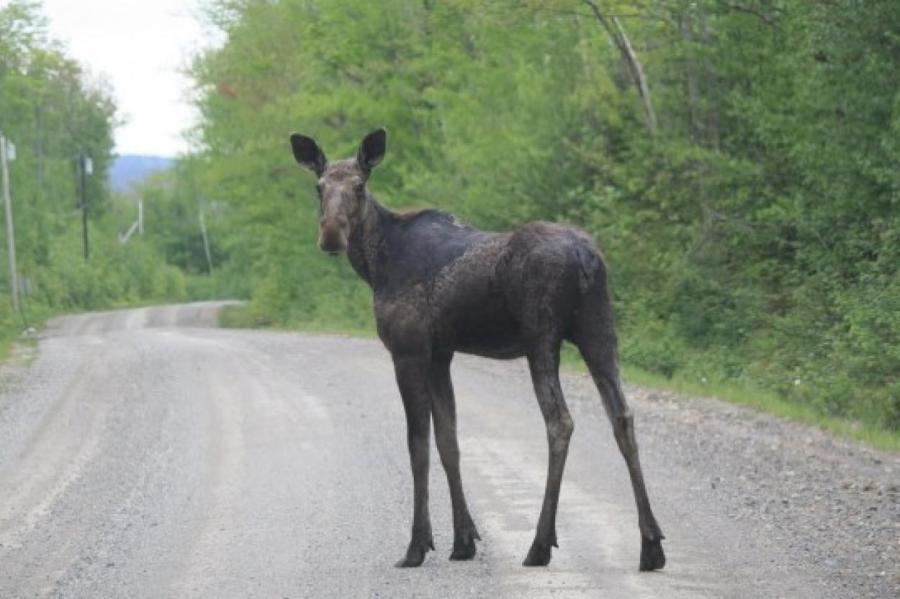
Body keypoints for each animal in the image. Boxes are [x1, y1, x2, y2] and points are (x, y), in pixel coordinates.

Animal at [292, 127, 664, 572]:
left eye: (360, 186)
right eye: (319, 186)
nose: (331, 234)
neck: (375, 265)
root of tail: (585, 258)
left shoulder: (409, 351)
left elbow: (418, 445)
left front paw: (417, 545)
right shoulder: (441, 355)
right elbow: (449, 442)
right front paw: (463, 540)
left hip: (542, 339)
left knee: (560, 422)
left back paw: (540, 544)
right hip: (600, 332)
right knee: (621, 416)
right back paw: (651, 544)